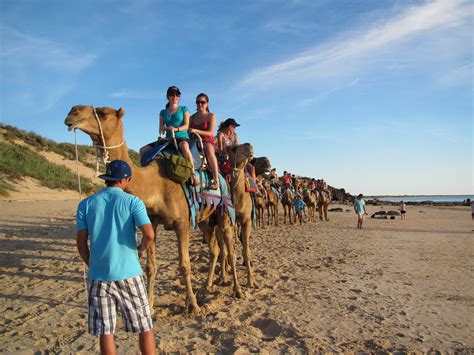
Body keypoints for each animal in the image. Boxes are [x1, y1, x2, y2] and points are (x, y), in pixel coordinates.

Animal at [65, 105, 243, 314]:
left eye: (103, 113)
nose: (72, 113)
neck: (155, 185)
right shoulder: (152, 222)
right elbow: (151, 266)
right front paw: (149, 306)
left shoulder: (182, 222)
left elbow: (185, 265)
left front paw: (193, 305)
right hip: (204, 220)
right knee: (214, 249)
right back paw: (207, 285)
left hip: (224, 212)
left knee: (230, 251)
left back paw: (238, 290)